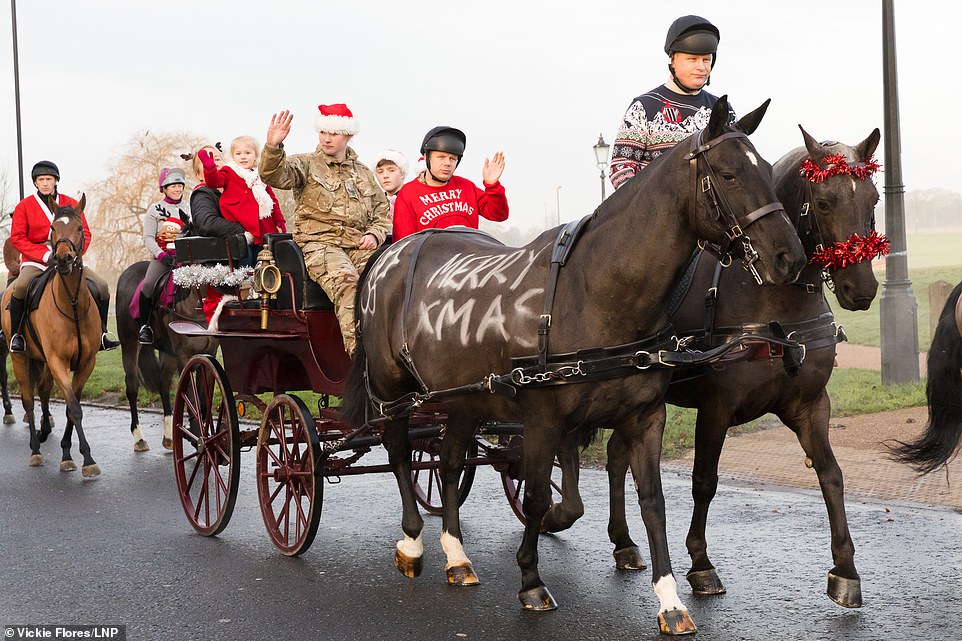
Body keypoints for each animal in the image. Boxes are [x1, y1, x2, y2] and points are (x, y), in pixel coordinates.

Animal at [0, 195, 103, 476]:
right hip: (19, 357)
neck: (73, 303)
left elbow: (70, 407)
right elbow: (74, 408)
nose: (63, 259)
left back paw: (44, 431)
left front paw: (68, 453)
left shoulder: (86, 363)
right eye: (53, 228)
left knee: (44, 392)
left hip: (41, 361)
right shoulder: (58, 361)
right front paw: (88, 459)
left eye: (79, 228)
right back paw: (35, 449)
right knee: (29, 400)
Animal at [115, 260, 215, 450]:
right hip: (129, 344)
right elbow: (191, 395)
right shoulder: (184, 355)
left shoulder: (208, 352)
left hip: (169, 355)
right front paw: (196, 436)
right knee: (132, 386)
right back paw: (139, 437)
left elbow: (204, 399)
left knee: (164, 383)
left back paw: (169, 435)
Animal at [342, 95, 808, 636]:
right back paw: (413, 542)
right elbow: (538, 497)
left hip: (461, 398)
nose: (789, 257)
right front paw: (530, 580)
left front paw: (670, 599)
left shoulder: (644, 416)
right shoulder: (543, 418)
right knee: (400, 453)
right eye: (730, 174)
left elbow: (652, 502)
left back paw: (456, 555)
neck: (593, 291)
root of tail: (391, 253)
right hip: (393, 390)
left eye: (766, 171)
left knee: (451, 459)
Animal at [592, 126, 884, 608]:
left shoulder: (810, 406)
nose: (861, 289)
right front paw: (700, 563)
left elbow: (832, 475)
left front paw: (845, 569)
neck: (773, 302)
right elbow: (704, 481)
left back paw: (624, 542)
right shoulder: (716, 410)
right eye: (824, 202)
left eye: (874, 198)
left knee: (617, 457)